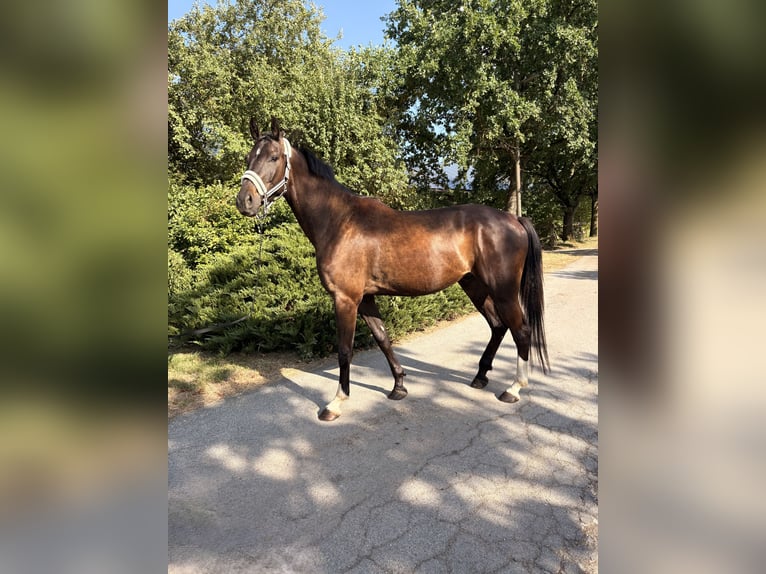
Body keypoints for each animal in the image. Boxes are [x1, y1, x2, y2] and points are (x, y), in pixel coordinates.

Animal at [236, 118, 549, 421]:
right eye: (249, 157)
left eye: (274, 157)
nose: (245, 201)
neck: (339, 221)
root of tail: (513, 219)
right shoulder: (366, 298)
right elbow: (383, 338)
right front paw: (399, 386)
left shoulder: (346, 299)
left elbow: (345, 350)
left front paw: (336, 403)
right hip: (473, 284)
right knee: (498, 326)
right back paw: (480, 376)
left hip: (503, 289)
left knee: (520, 329)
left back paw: (513, 389)